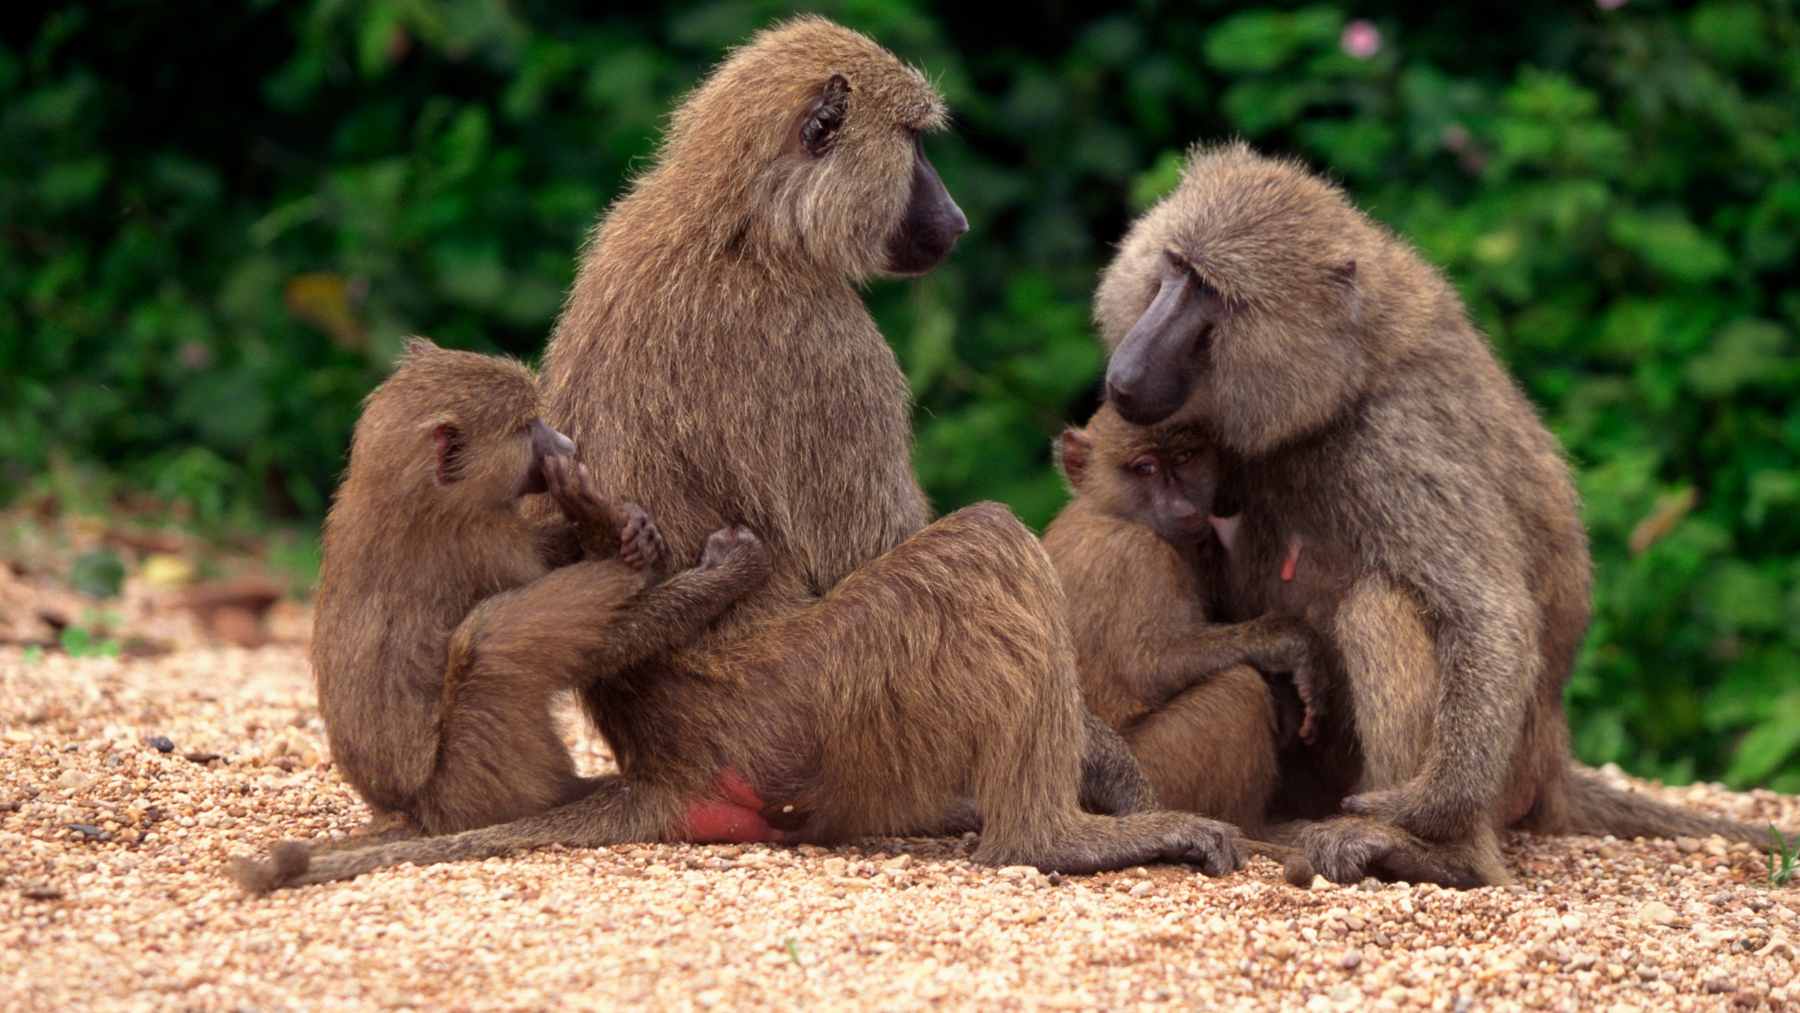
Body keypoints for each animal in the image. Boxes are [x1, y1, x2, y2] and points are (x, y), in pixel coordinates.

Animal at [289, 339, 771, 848]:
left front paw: (615, 524)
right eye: (526, 428)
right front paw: (717, 569)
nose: (567, 445)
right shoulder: (483, 543)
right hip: (472, 781)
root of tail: (406, 814)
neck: (411, 489)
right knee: (491, 640)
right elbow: (595, 647)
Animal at [1041, 403, 1325, 833]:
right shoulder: (1136, 555)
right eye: (1145, 468)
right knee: (1238, 688)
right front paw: (1284, 642)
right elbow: (1150, 667)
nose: (1183, 506)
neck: (1113, 511)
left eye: (1185, 457)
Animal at [1094, 141, 1796, 885]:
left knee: (1380, 606)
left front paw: (1428, 808)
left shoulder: (1397, 439)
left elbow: (1489, 614)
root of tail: (1553, 757)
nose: (1126, 376)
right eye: (1173, 267)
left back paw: (1436, 854)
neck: (1343, 374)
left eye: (1210, 293)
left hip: (1507, 771)